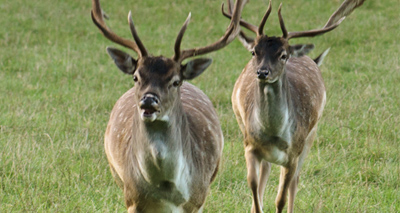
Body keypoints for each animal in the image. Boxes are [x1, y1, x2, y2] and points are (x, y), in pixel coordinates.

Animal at [91, 0, 247, 211]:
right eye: (136, 77)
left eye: (175, 81)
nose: (148, 100)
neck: (166, 189)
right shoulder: (131, 197)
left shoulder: (197, 198)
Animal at [222, 0, 366, 212]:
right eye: (254, 51)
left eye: (283, 55)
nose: (262, 72)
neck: (273, 135)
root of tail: (308, 57)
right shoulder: (249, 145)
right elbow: (253, 185)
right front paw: (256, 207)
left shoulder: (293, 154)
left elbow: (281, 198)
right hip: (242, 123)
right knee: (266, 170)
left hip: (311, 133)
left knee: (295, 181)